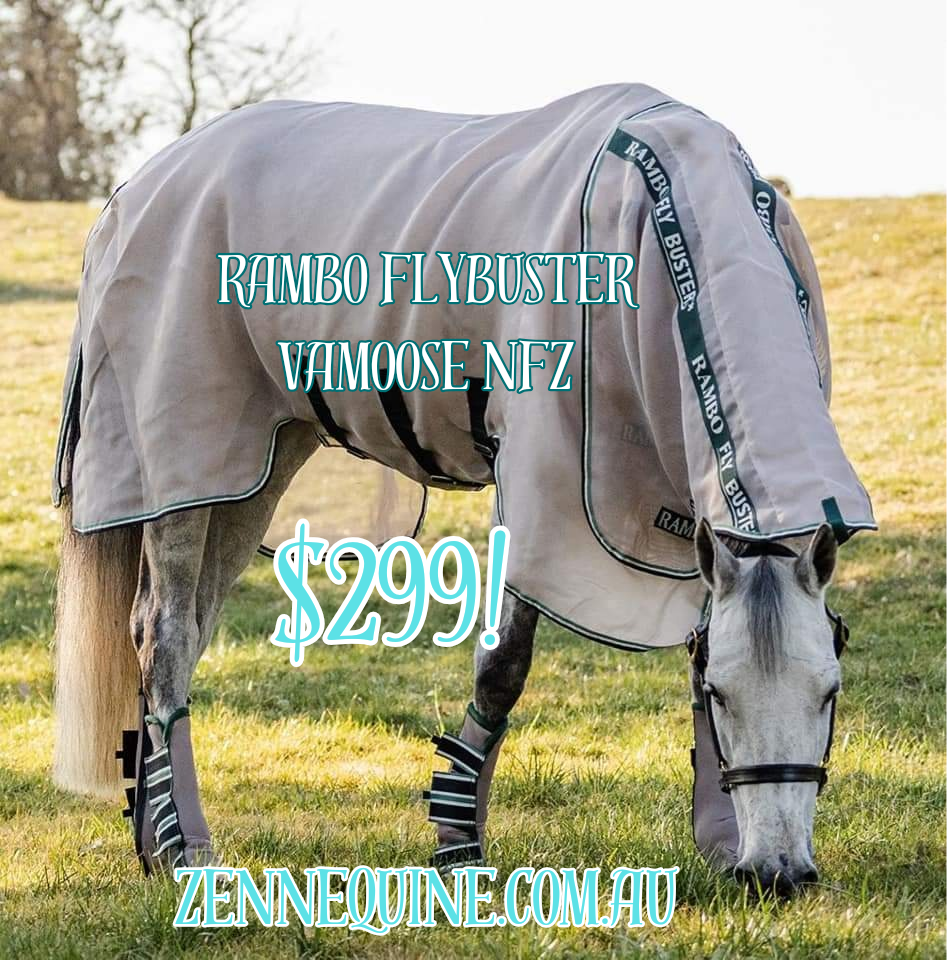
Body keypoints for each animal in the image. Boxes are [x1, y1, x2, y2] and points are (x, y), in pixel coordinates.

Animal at [50, 84, 874, 895]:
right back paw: (182, 849)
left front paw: (718, 841)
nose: (778, 873)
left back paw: (155, 837)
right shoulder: (545, 488)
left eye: (830, 692)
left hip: (254, 466)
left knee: (181, 632)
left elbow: (696, 636)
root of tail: (135, 189)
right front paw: (459, 844)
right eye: (725, 695)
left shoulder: (689, 511)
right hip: (181, 464)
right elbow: (505, 663)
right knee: (164, 635)